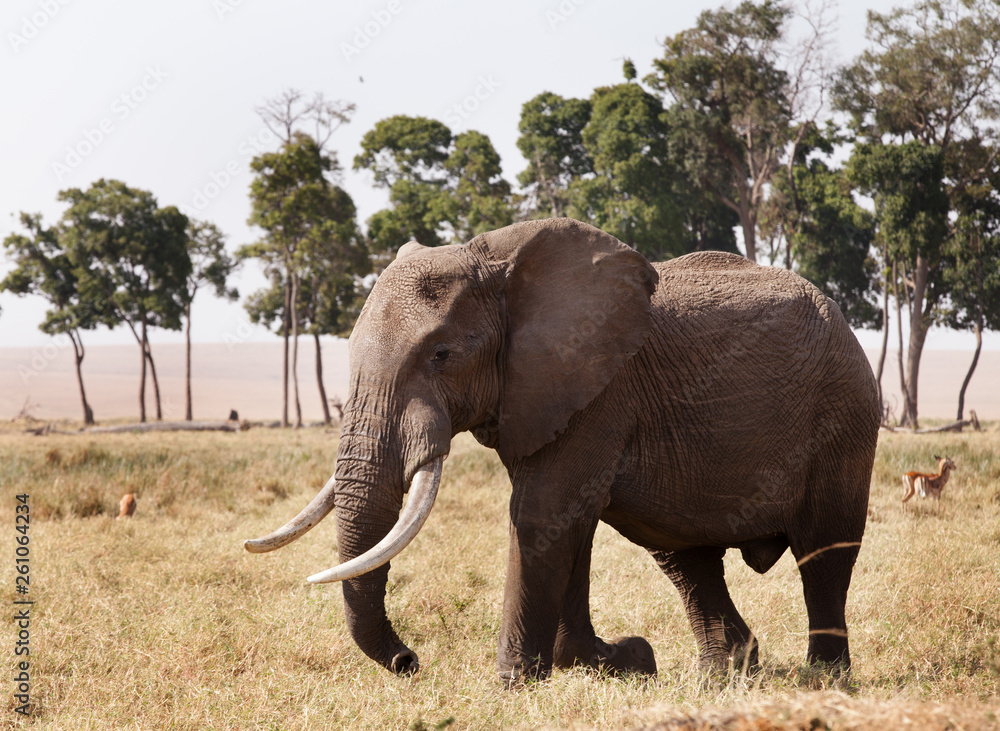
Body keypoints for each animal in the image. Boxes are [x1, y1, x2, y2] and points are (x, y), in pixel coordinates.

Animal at [245, 217, 880, 683]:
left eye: (442, 355)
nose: (409, 662)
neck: (495, 260)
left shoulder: (598, 389)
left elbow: (540, 514)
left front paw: (515, 682)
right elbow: (563, 521)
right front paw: (614, 660)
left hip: (844, 413)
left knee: (825, 550)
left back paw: (824, 677)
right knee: (684, 556)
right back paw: (723, 674)